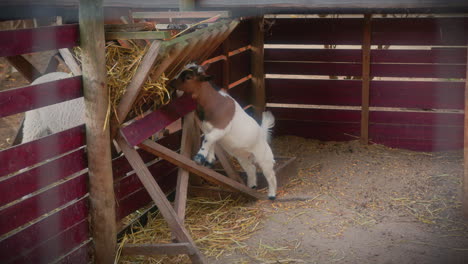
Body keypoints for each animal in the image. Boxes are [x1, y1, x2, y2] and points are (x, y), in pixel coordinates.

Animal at [169, 64, 276, 199]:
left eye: (188, 77)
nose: (171, 83)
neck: (214, 102)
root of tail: (262, 133)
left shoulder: (222, 127)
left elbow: (208, 139)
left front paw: (199, 158)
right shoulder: (207, 128)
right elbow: (210, 141)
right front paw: (209, 160)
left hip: (263, 155)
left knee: (270, 173)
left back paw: (272, 194)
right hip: (242, 156)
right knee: (251, 169)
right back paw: (251, 186)